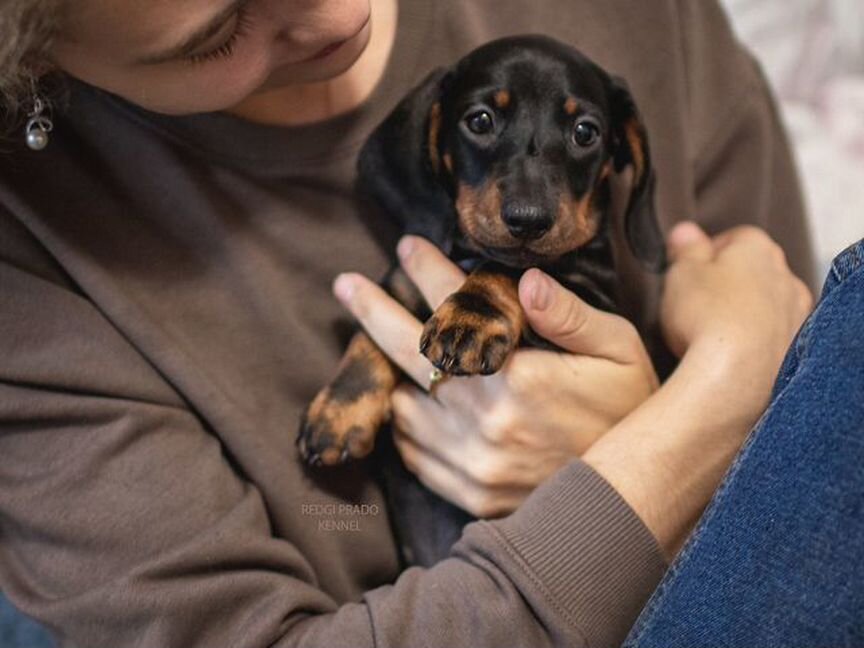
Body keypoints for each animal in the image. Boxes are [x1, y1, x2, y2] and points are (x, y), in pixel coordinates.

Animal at [296, 34, 660, 560]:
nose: (528, 220)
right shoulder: (404, 276)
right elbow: (371, 330)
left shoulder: (593, 300)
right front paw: (339, 410)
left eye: (586, 132)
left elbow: (509, 268)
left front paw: (472, 317)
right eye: (481, 120)